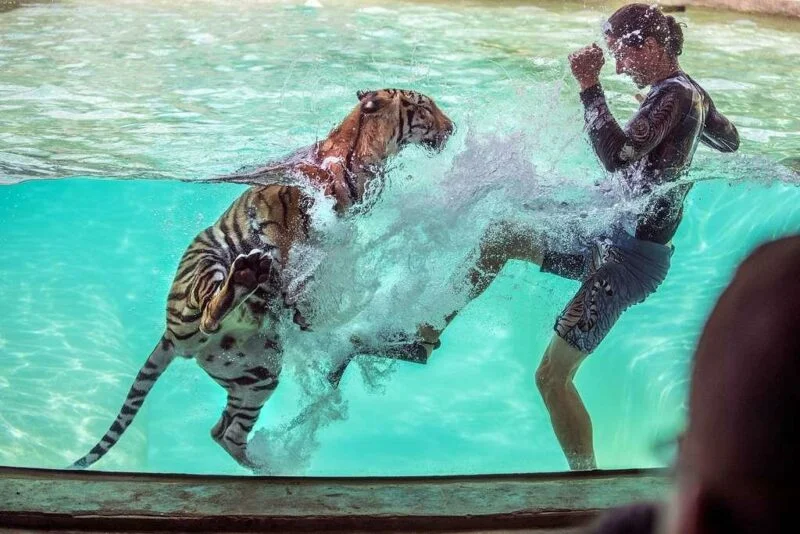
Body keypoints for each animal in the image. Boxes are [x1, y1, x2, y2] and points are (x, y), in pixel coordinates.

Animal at [72, 90, 454, 472]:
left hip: (258, 371)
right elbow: (295, 243)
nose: (451, 126)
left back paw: (270, 465)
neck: (371, 155)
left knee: (224, 431)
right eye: (423, 106)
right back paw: (248, 276)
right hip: (207, 265)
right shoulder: (287, 214)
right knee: (210, 312)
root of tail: (171, 337)